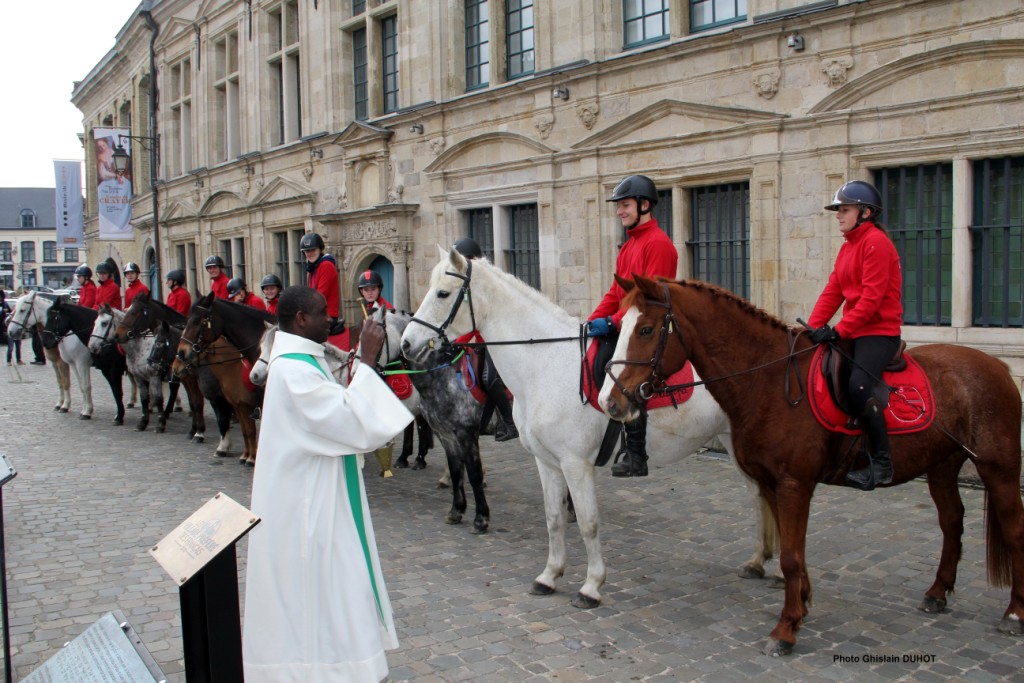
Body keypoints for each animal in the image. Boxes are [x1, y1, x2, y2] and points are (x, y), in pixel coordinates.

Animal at [399, 249, 774, 610]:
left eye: (443, 293)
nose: (406, 344)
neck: (545, 363)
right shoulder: (546, 462)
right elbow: (554, 518)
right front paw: (549, 576)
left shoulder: (575, 464)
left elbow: (588, 523)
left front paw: (591, 587)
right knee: (761, 494)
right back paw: (761, 561)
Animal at [598, 274, 1024, 659]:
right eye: (620, 328)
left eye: (646, 329)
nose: (611, 402)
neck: (768, 380)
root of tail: (997, 366)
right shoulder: (773, 485)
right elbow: (794, 553)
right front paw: (801, 604)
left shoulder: (793, 485)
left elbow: (790, 557)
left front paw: (786, 629)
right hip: (941, 466)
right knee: (952, 522)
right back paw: (937, 593)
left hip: (998, 468)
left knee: (1013, 530)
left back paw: (1014, 613)